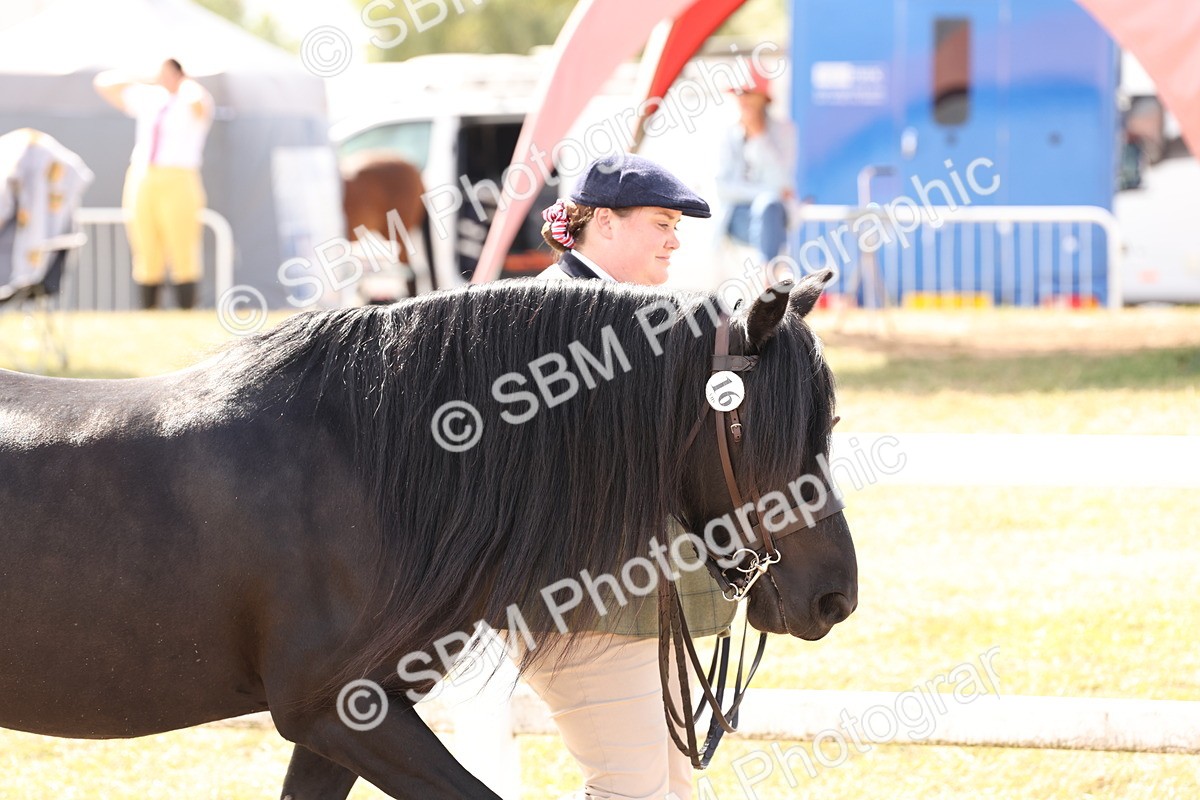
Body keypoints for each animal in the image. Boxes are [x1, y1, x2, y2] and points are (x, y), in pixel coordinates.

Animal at [0, 270, 857, 798]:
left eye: (833, 421)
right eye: (756, 428)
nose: (834, 597)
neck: (366, 463)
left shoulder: (343, 721)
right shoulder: (337, 711)